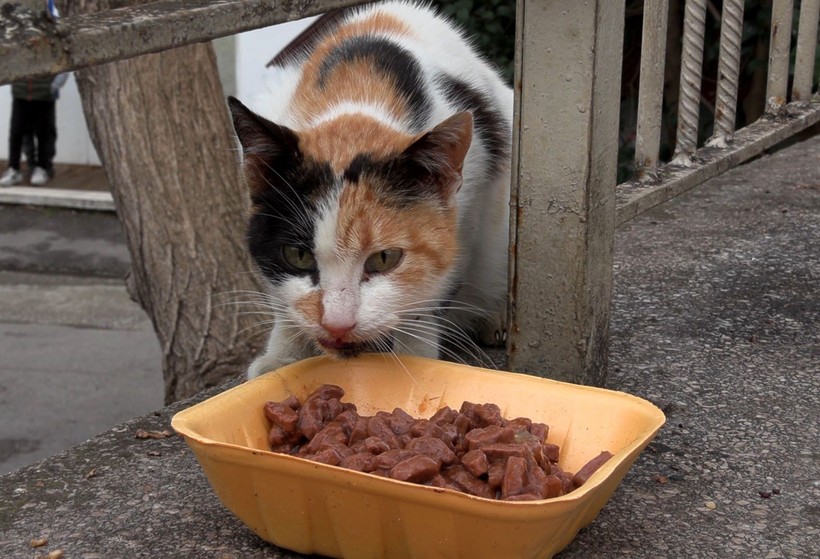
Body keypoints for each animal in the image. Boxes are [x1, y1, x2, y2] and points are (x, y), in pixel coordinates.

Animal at [229, 1, 512, 380]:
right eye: (297, 255)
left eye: (384, 258)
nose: (336, 324)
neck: (359, 85)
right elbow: (279, 296)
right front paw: (281, 358)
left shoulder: (472, 205)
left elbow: (432, 290)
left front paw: (416, 357)